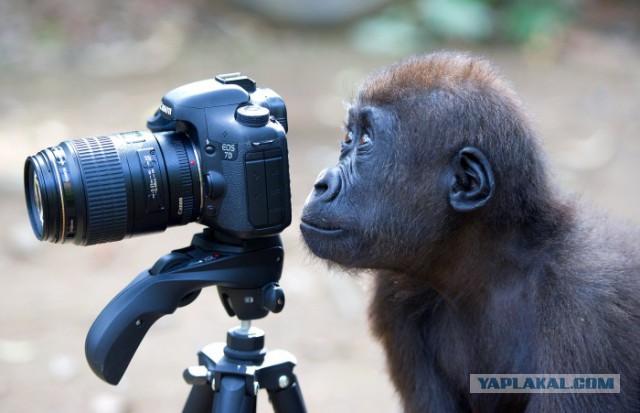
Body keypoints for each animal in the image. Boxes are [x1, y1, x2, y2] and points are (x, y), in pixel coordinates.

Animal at [300, 51, 640, 412]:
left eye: (365, 141)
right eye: (348, 138)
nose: (320, 184)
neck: (494, 266)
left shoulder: (590, 305)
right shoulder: (394, 295)